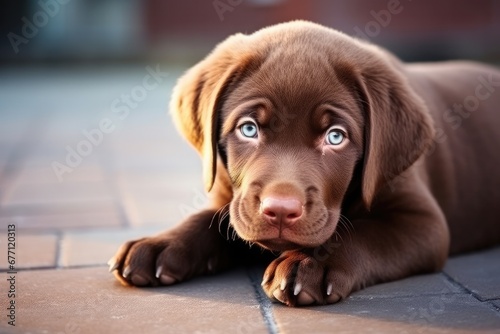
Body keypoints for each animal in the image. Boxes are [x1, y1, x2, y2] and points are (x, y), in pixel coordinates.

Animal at [109, 20, 500, 306]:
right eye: (248, 128)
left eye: (336, 137)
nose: (281, 210)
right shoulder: (229, 198)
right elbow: (206, 220)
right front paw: (161, 244)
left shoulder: (424, 223)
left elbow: (365, 232)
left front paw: (311, 264)